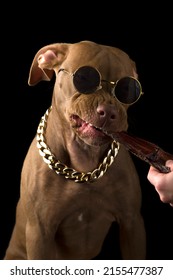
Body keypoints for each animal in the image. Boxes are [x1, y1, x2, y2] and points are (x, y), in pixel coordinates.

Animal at [3, 40, 146, 260]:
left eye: (128, 89)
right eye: (84, 78)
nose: (109, 112)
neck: (84, 162)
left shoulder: (132, 223)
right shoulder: (40, 233)